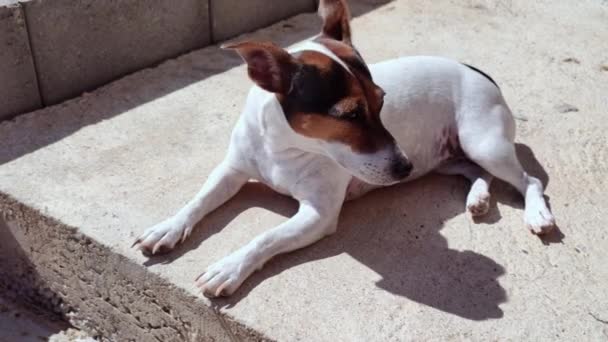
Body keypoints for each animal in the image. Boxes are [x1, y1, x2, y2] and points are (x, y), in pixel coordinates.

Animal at [132, 0, 556, 296]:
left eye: (382, 102)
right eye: (350, 114)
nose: (403, 167)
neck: (282, 148)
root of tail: (477, 71)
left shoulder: (318, 214)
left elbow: (265, 237)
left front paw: (230, 267)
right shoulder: (232, 171)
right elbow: (197, 201)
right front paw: (167, 227)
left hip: (482, 142)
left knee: (529, 180)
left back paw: (537, 214)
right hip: (445, 159)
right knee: (475, 172)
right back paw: (478, 198)